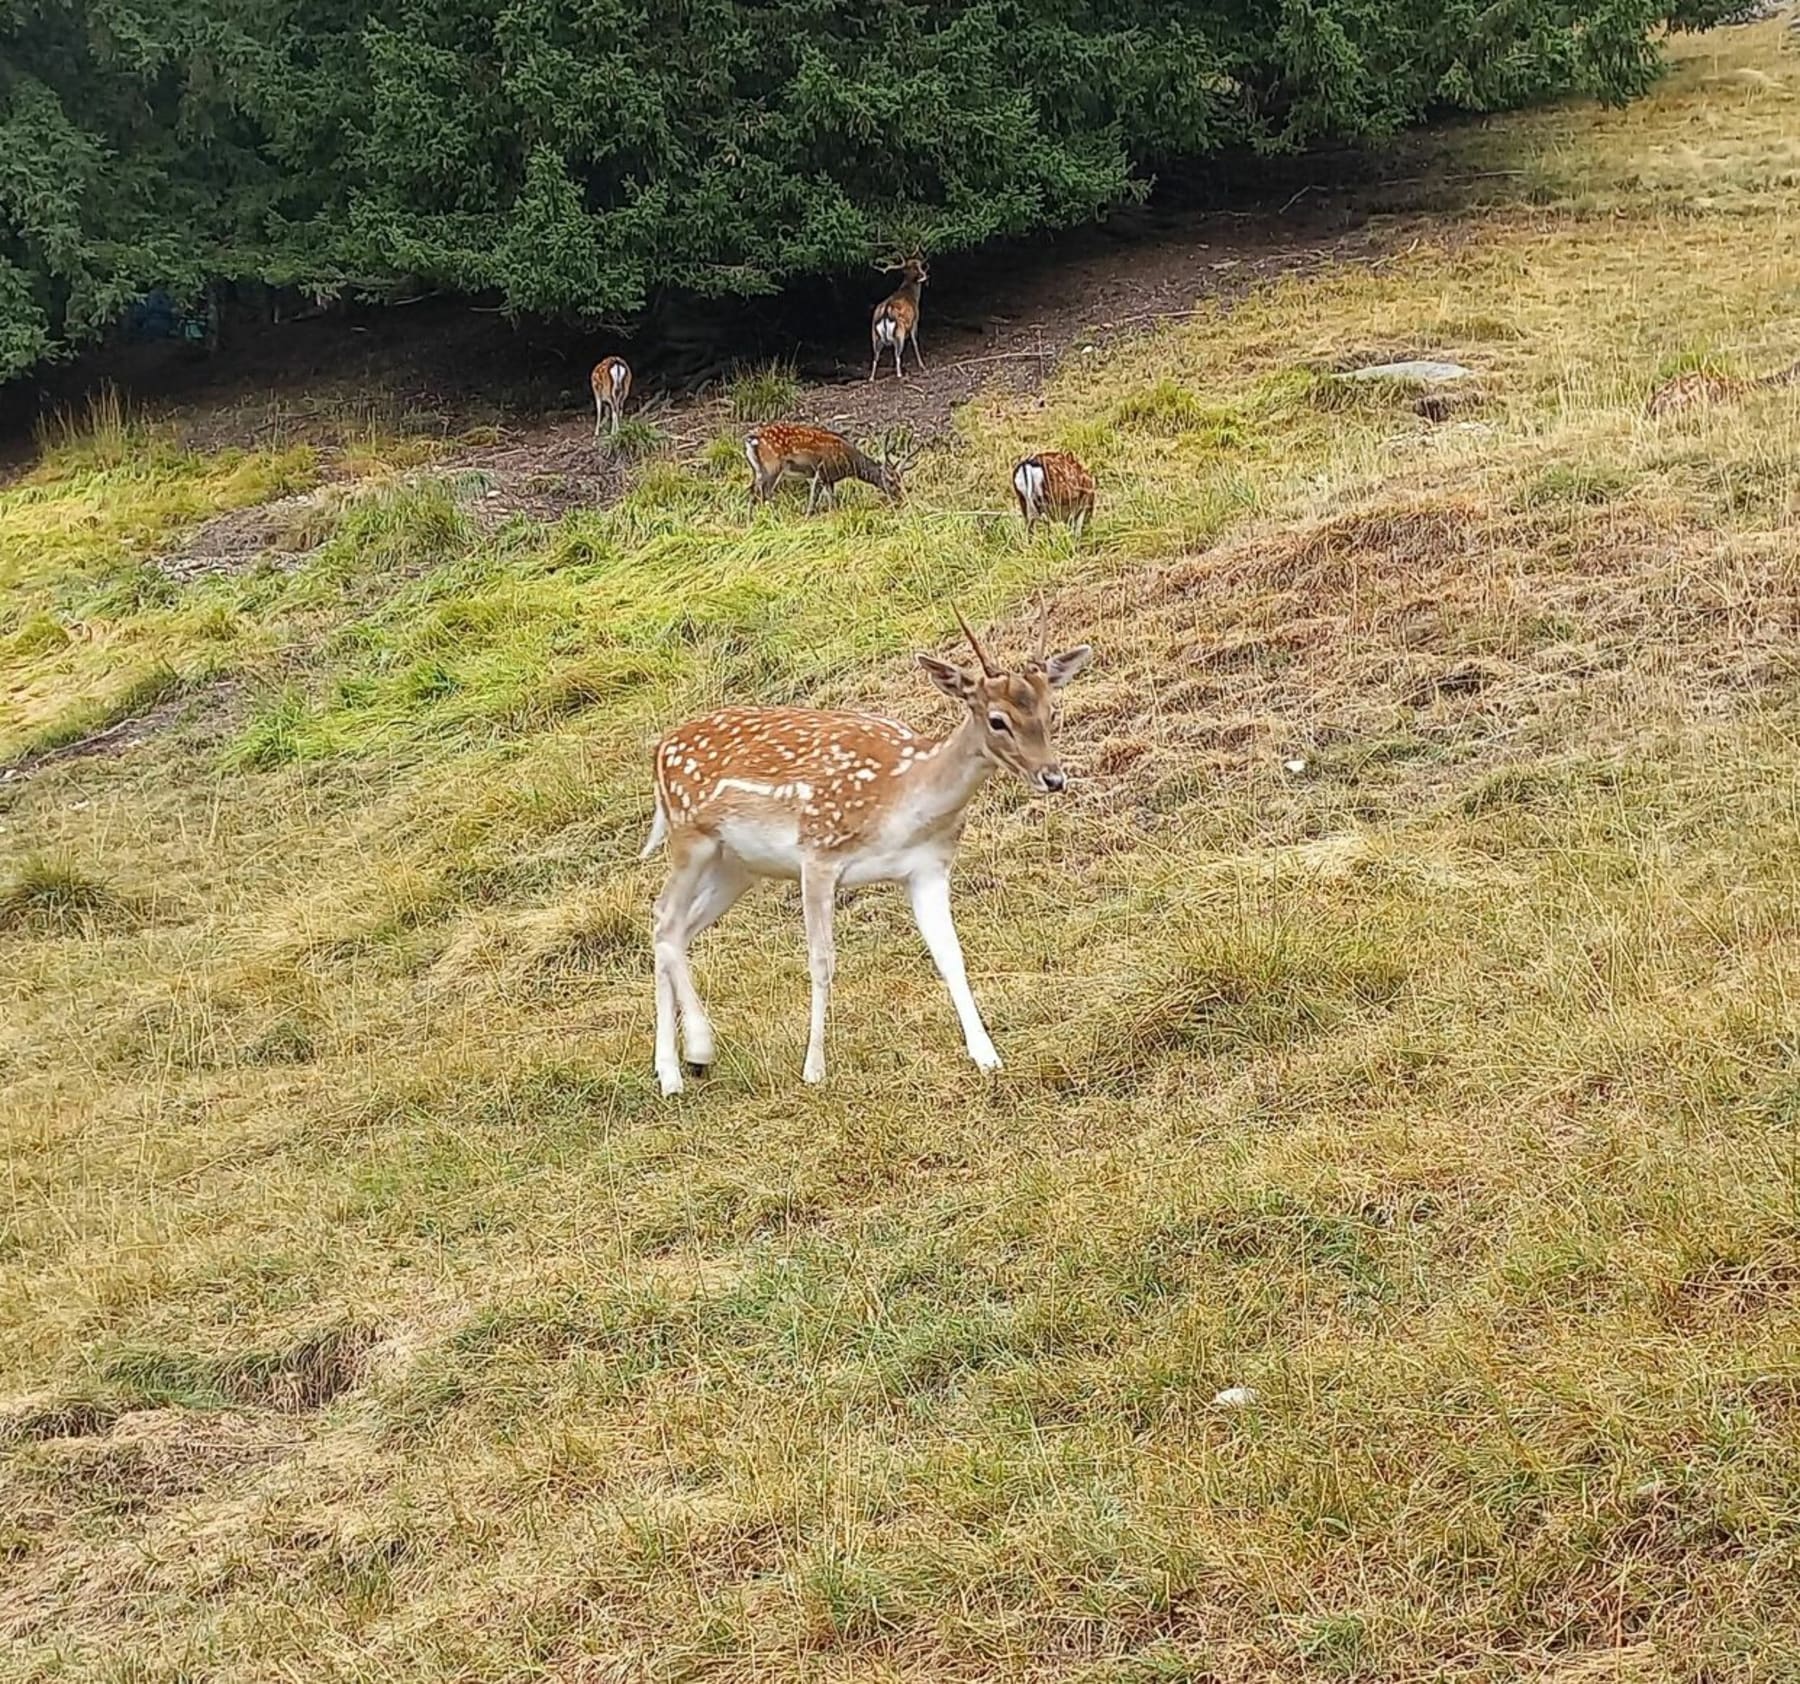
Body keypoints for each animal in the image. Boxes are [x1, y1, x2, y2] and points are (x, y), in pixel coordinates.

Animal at [648, 611, 1094, 1101]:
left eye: (1051, 711)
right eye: (997, 720)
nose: (1053, 777)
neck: (901, 803)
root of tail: (659, 751)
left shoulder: (927, 869)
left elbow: (950, 955)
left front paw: (987, 1057)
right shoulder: (818, 853)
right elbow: (822, 962)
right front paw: (814, 1069)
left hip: (737, 867)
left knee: (675, 928)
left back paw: (674, 1069)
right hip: (691, 837)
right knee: (664, 918)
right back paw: (693, 1054)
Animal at [745, 421, 907, 514]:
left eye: (901, 481)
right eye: (891, 481)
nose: (900, 498)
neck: (848, 462)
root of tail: (754, 438)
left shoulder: (830, 479)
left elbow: (832, 501)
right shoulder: (821, 471)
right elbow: (814, 499)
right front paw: (807, 515)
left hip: (759, 469)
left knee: (753, 492)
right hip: (773, 466)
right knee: (764, 493)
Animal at [871, 255, 928, 383]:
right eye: (918, 266)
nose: (925, 274)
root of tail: (886, 310)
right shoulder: (914, 322)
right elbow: (915, 342)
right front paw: (922, 366)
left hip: (875, 336)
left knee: (875, 357)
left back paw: (871, 378)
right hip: (900, 332)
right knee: (897, 354)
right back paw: (899, 374)